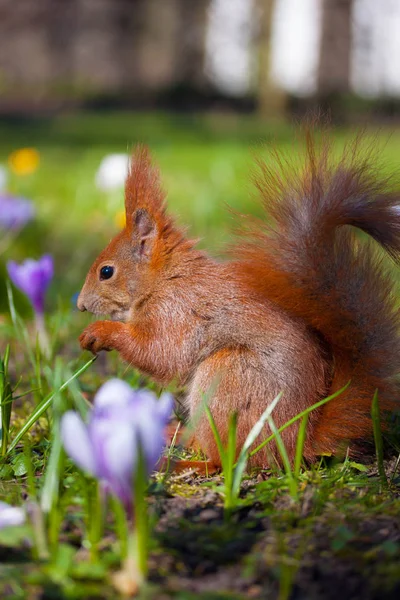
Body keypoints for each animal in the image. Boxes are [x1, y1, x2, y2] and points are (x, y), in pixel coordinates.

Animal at [76, 130, 400, 468]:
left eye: (106, 271)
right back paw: (176, 433)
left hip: (227, 377)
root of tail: (296, 440)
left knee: (226, 461)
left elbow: (161, 355)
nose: (81, 305)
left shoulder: (177, 312)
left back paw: (185, 462)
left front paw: (100, 332)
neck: (165, 279)